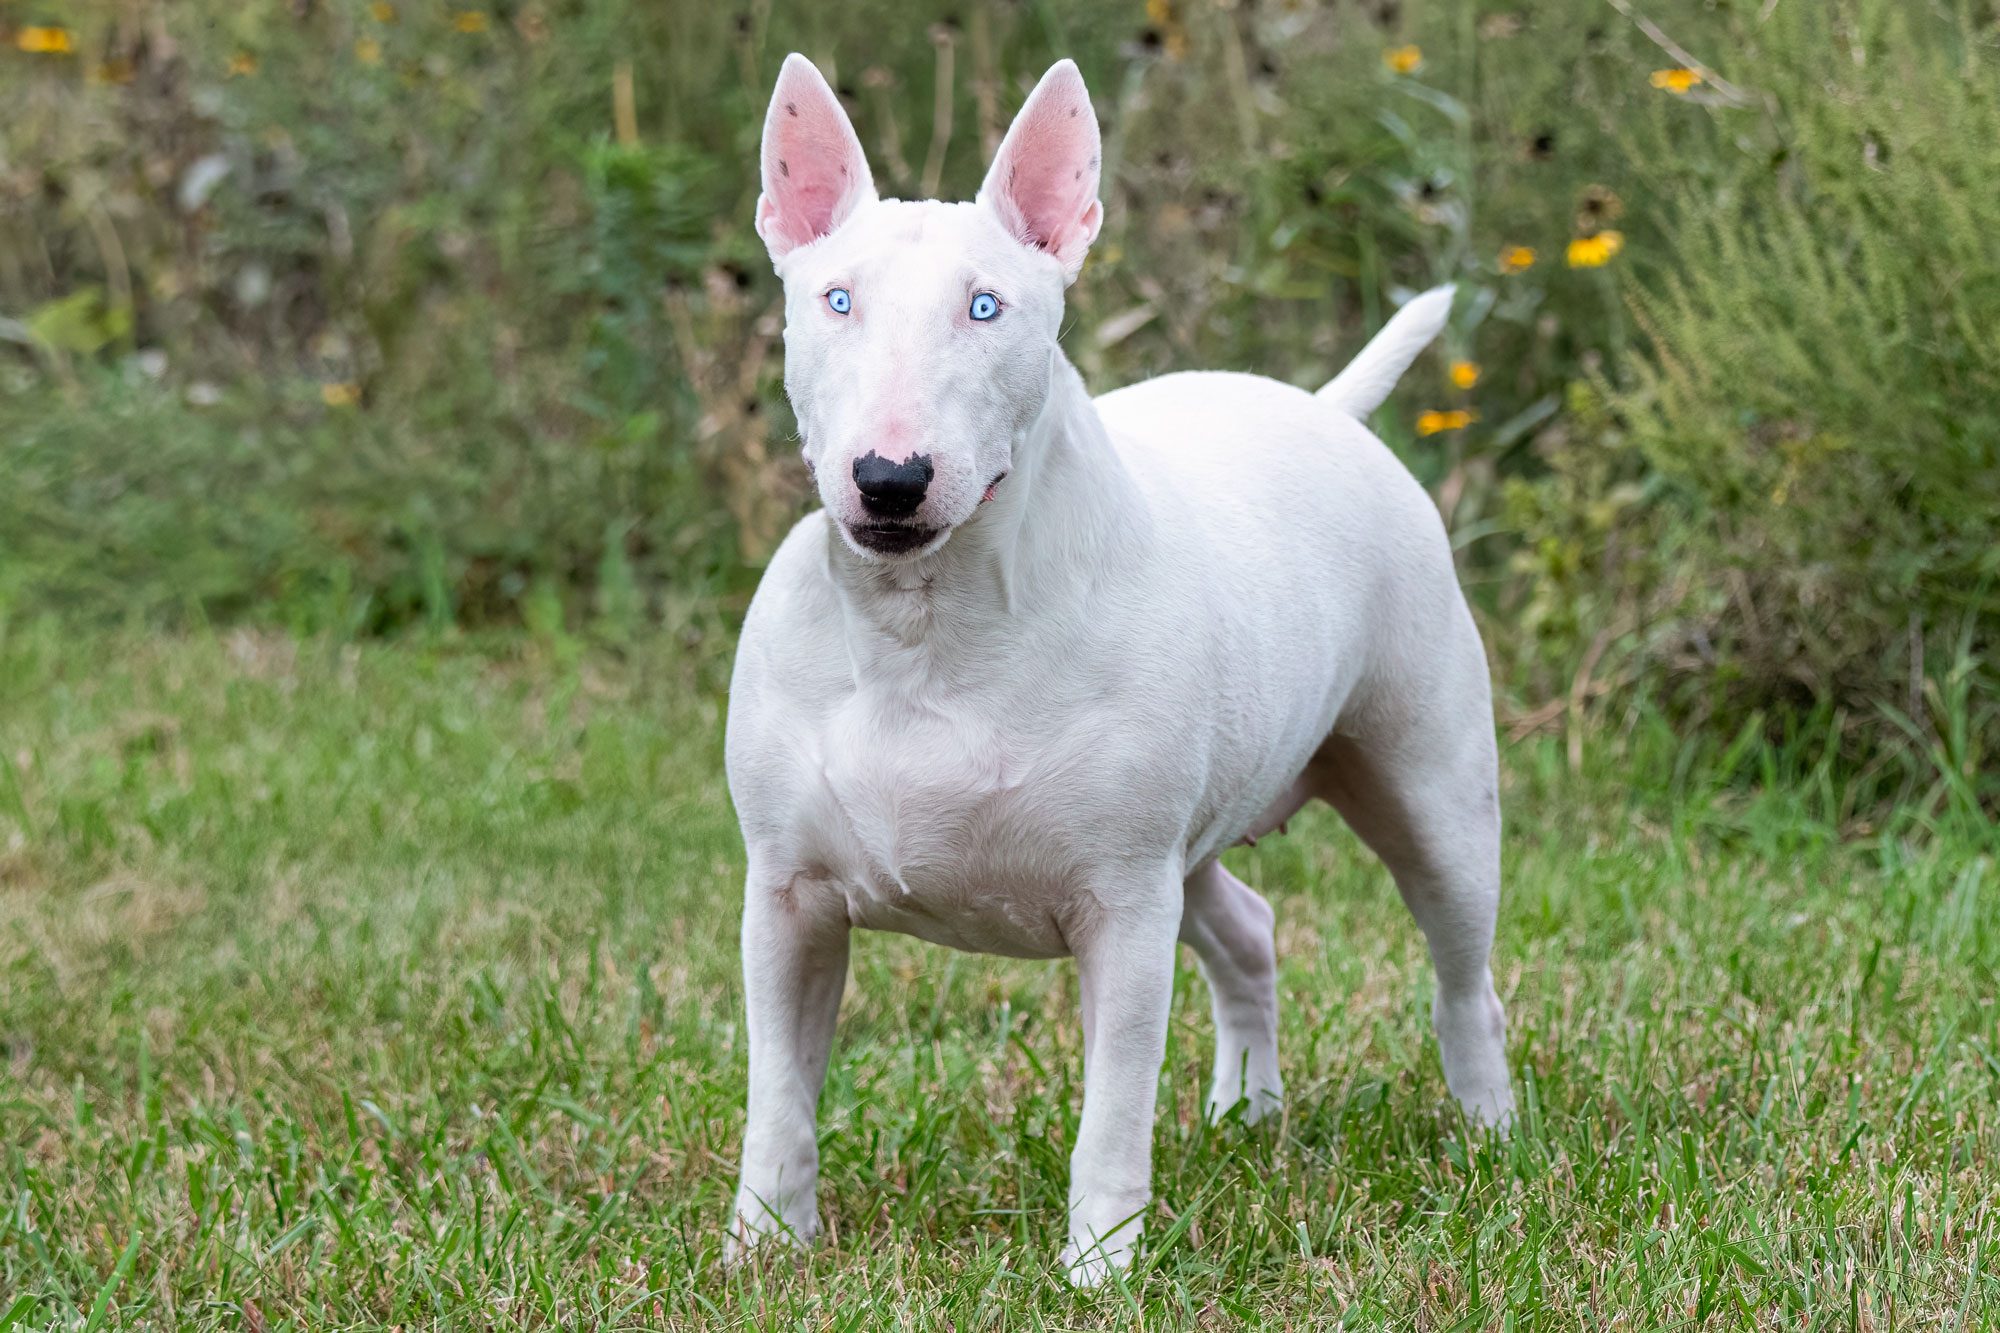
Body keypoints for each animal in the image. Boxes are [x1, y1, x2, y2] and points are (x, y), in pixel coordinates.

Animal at [728, 52, 1504, 1280]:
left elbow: (1113, 1101)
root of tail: (1325, 412)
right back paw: (1247, 1113)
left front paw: (1099, 1266)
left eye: (985, 306)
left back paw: (1486, 1134)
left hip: (1428, 789)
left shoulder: (1123, 901)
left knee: (1463, 972)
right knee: (1248, 930)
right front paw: (762, 1247)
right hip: (1199, 833)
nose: (890, 480)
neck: (924, 623)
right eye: (835, 300)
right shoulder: (786, 898)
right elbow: (778, 1091)